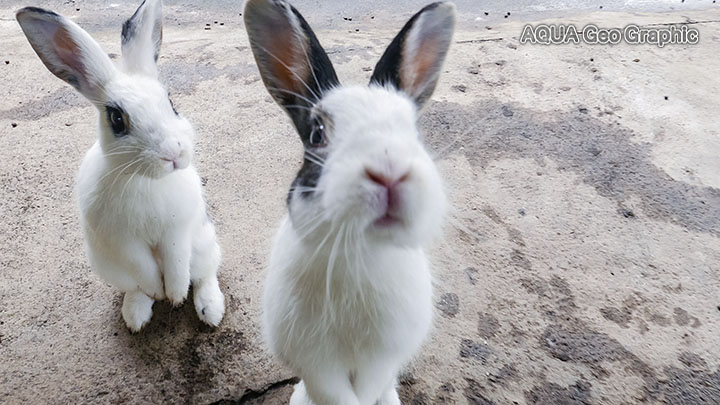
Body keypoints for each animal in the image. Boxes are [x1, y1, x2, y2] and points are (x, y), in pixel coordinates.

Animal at [17, 0, 225, 332]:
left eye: (171, 103)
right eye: (116, 119)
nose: (174, 154)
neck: (144, 179)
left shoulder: (177, 231)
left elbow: (177, 264)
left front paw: (176, 295)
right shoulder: (124, 243)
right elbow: (145, 271)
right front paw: (160, 293)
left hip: (204, 243)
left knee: (205, 274)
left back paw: (210, 310)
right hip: (109, 266)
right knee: (135, 287)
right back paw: (136, 316)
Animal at [245, 1, 452, 402]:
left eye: (414, 130)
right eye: (317, 133)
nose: (389, 172)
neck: (360, 252)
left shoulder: (382, 358)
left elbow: (369, 388)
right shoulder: (316, 363)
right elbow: (335, 394)